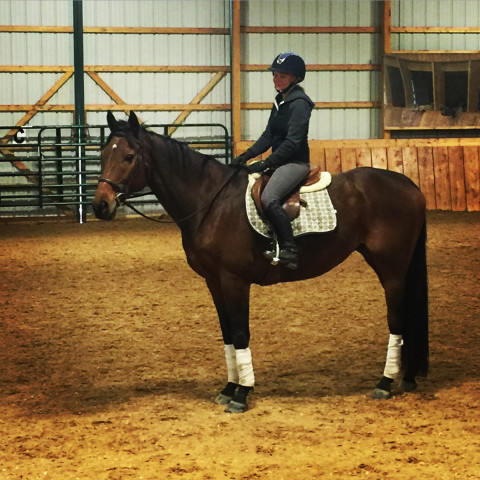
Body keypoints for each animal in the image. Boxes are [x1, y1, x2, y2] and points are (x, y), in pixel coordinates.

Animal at [93, 111, 428, 412]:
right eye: (103, 153)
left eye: (129, 156)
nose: (100, 205)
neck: (211, 202)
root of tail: (411, 185)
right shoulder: (214, 281)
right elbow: (228, 334)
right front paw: (229, 388)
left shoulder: (234, 281)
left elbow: (241, 333)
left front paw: (242, 394)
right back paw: (406, 378)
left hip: (392, 269)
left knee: (397, 320)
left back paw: (385, 383)